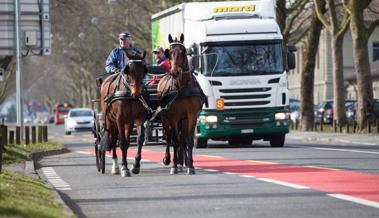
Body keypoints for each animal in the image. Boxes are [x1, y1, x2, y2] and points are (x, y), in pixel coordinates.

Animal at [157, 33, 205, 175]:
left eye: (183, 52)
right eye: (169, 53)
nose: (174, 72)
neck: (182, 87)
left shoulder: (191, 115)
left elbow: (188, 140)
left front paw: (190, 166)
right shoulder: (173, 116)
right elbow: (175, 140)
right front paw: (174, 166)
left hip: (183, 120)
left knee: (182, 138)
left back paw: (182, 161)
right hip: (164, 117)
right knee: (169, 137)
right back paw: (170, 159)